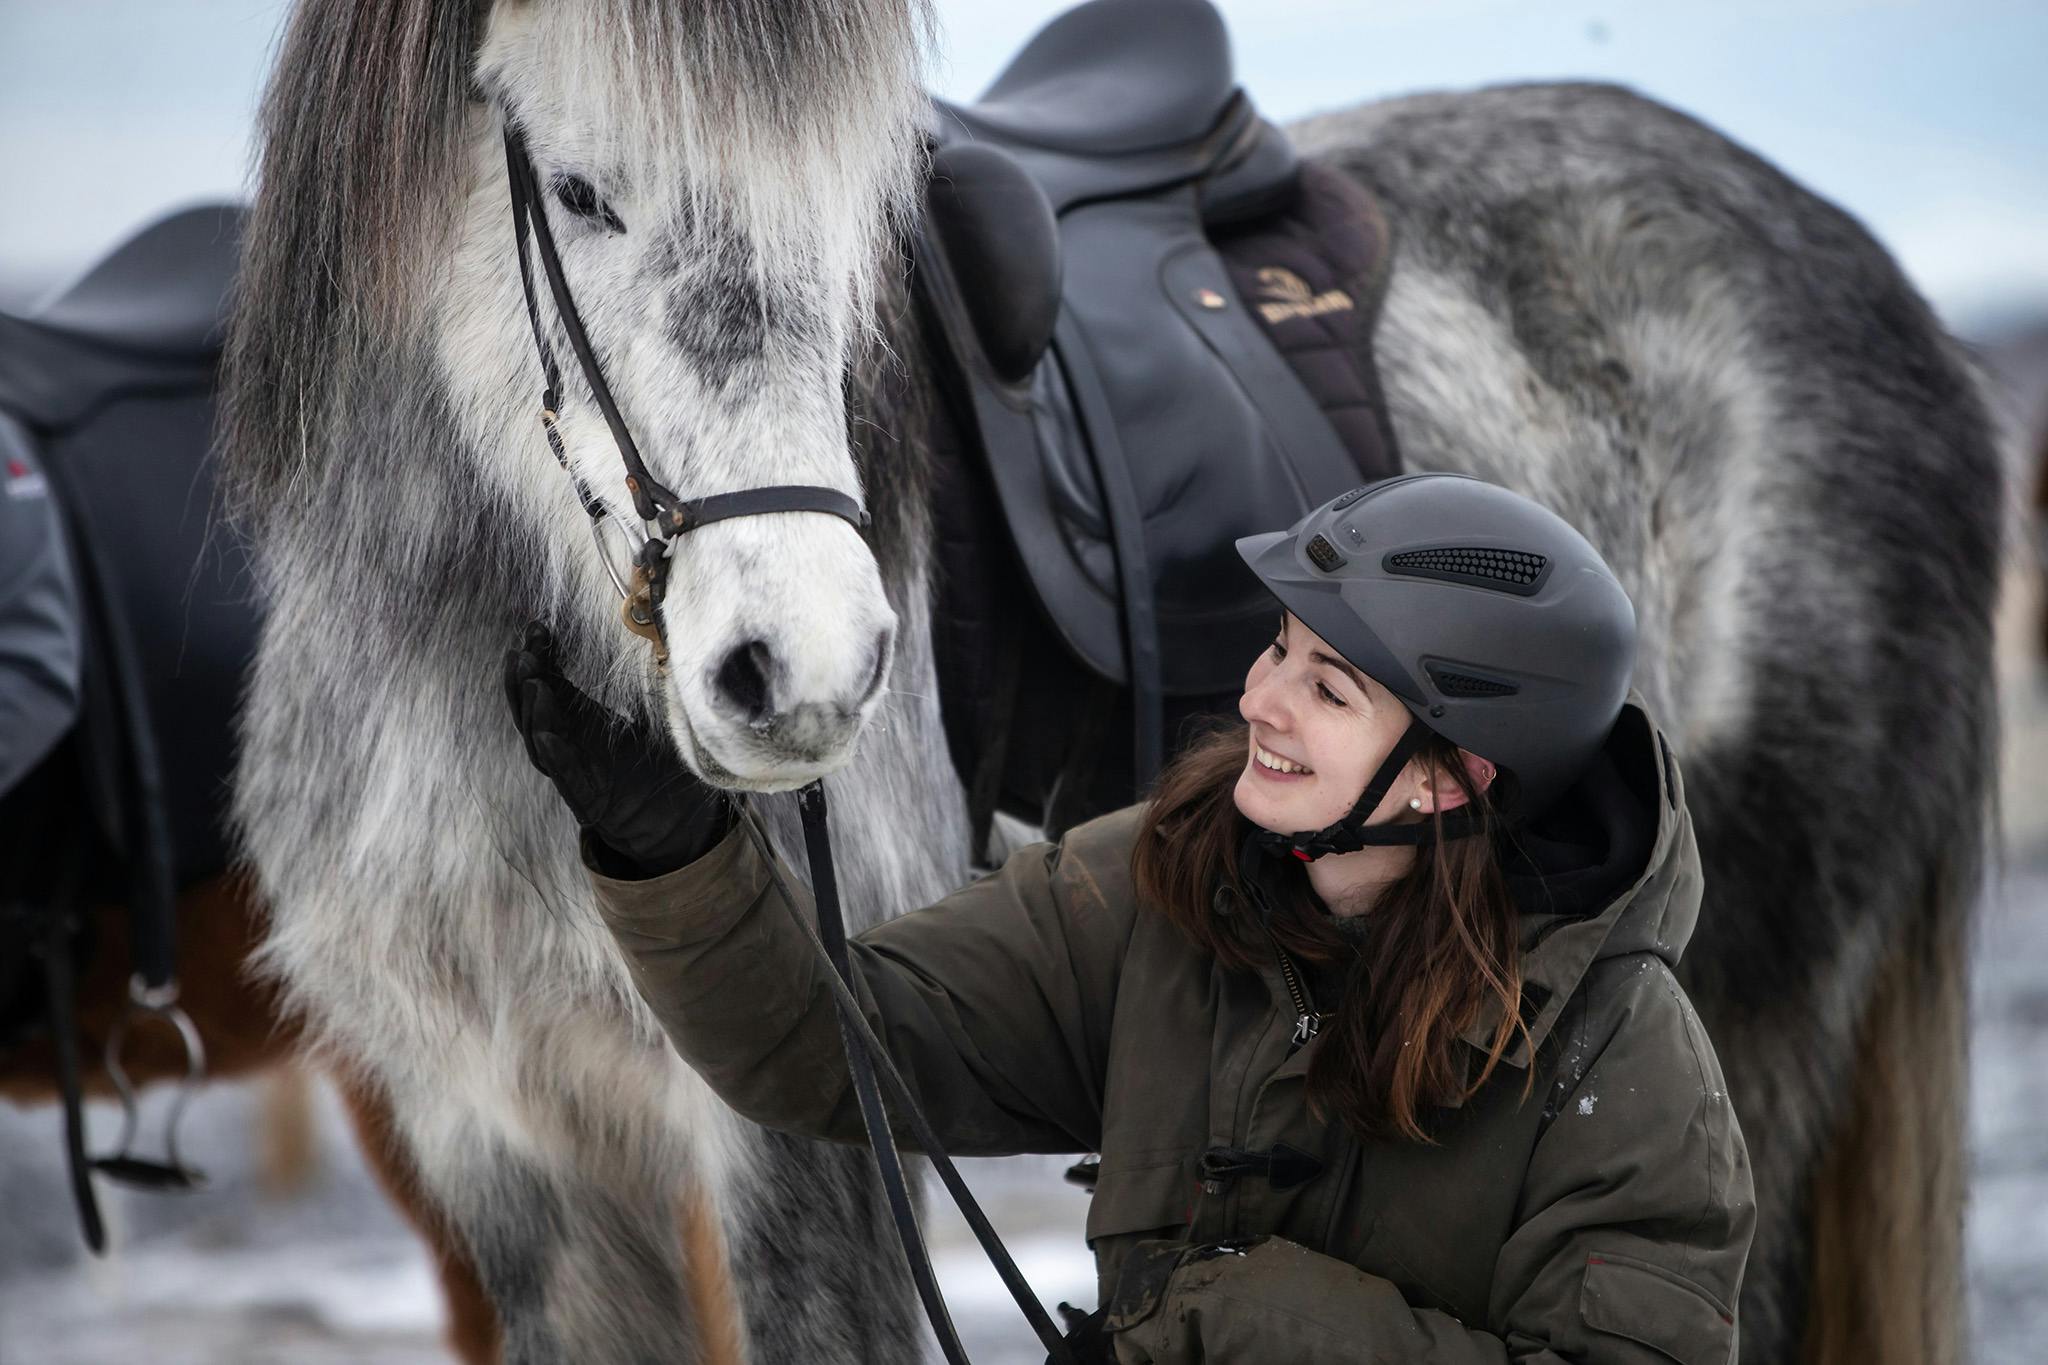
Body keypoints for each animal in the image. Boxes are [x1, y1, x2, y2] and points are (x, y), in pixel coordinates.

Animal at [220, 3, 2001, 1363]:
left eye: (861, 228)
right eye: (582, 193)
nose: (807, 670)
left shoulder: (809, 1167)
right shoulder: (514, 1158)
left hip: (1752, 1013)